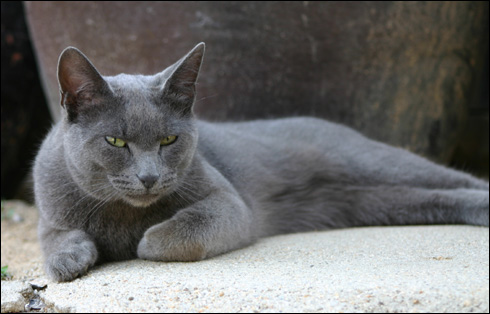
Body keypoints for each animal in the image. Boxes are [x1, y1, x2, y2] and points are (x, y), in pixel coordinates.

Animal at [32, 42, 488, 282]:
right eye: (115, 141)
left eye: (168, 140)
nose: (149, 177)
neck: (123, 214)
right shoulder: (50, 214)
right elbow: (54, 240)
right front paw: (68, 260)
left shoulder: (230, 204)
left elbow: (166, 237)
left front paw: (144, 241)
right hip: (372, 202)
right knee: (437, 196)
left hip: (373, 162)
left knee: (456, 178)